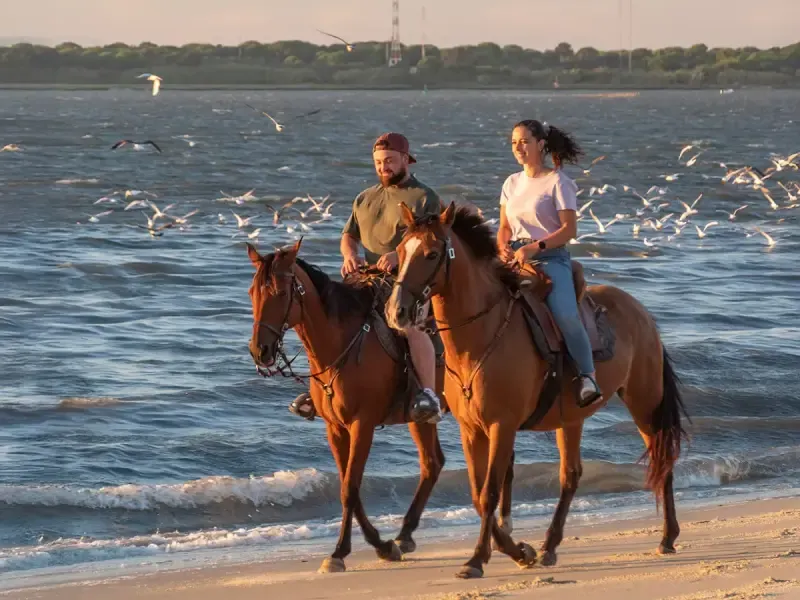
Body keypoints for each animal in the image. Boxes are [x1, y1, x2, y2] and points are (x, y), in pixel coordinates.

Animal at [246, 239, 453, 573]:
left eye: (279, 293)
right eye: (252, 292)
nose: (259, 350)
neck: (340, 346)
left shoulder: (362, 425)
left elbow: (349, 489)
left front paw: (341, 552)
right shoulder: (335, 428)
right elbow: (347, 487)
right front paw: (382, 546)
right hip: (419, 419)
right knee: (432, 463)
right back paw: (405, 535)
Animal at [385, 202, 689, 579]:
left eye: (430, 254)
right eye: (400, 251)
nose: (396, 311)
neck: (482, 336)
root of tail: (641, 312)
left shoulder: (502, 426)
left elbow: (490, 493)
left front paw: (478, 560)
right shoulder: (471, 430)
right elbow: (477, 494)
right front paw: (519, 551)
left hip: (644, 403)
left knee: (663, 460)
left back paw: (667, 537)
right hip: (572, 419)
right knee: (571, 476)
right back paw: (549, 547)